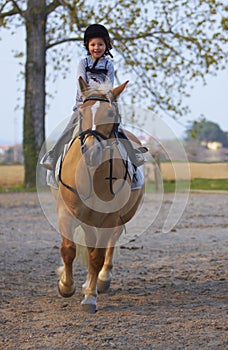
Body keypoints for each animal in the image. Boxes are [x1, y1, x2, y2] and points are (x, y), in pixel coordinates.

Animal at [53, 78, 144, 314]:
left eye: (111, 114)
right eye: (82, 113)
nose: (92, 151)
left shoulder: (110, 218)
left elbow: (97, 256)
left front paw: (90, 297)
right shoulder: (66, 212)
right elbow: (68, 250)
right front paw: (66, 285)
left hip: (117, 219)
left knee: (108, 246)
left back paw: (101, 279)